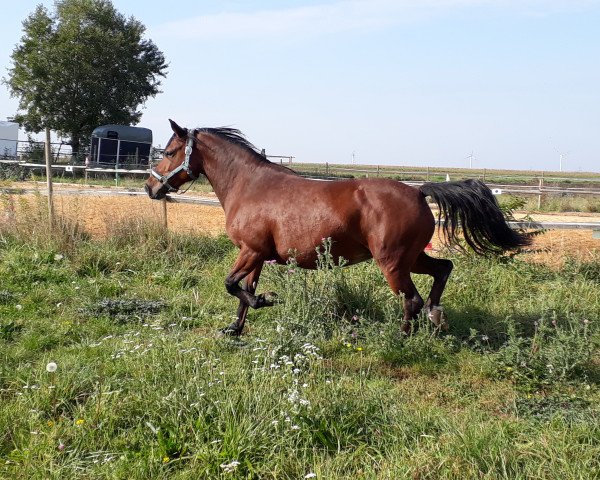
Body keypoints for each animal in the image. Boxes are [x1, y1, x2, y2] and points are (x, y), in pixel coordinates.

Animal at [146, 120, 528, 336]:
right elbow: (242, 291)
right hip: (412, 257)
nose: (151, 188)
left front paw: (265, 301)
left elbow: (231, 286)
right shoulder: (255, 254)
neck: (249, 184)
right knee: (442, 270)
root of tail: (419, 191)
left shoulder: (251, 250)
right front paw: (235, 328)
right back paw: (437, 317)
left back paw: (403, 338)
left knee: (412, 300)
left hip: (392, 263)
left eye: (169, 151)